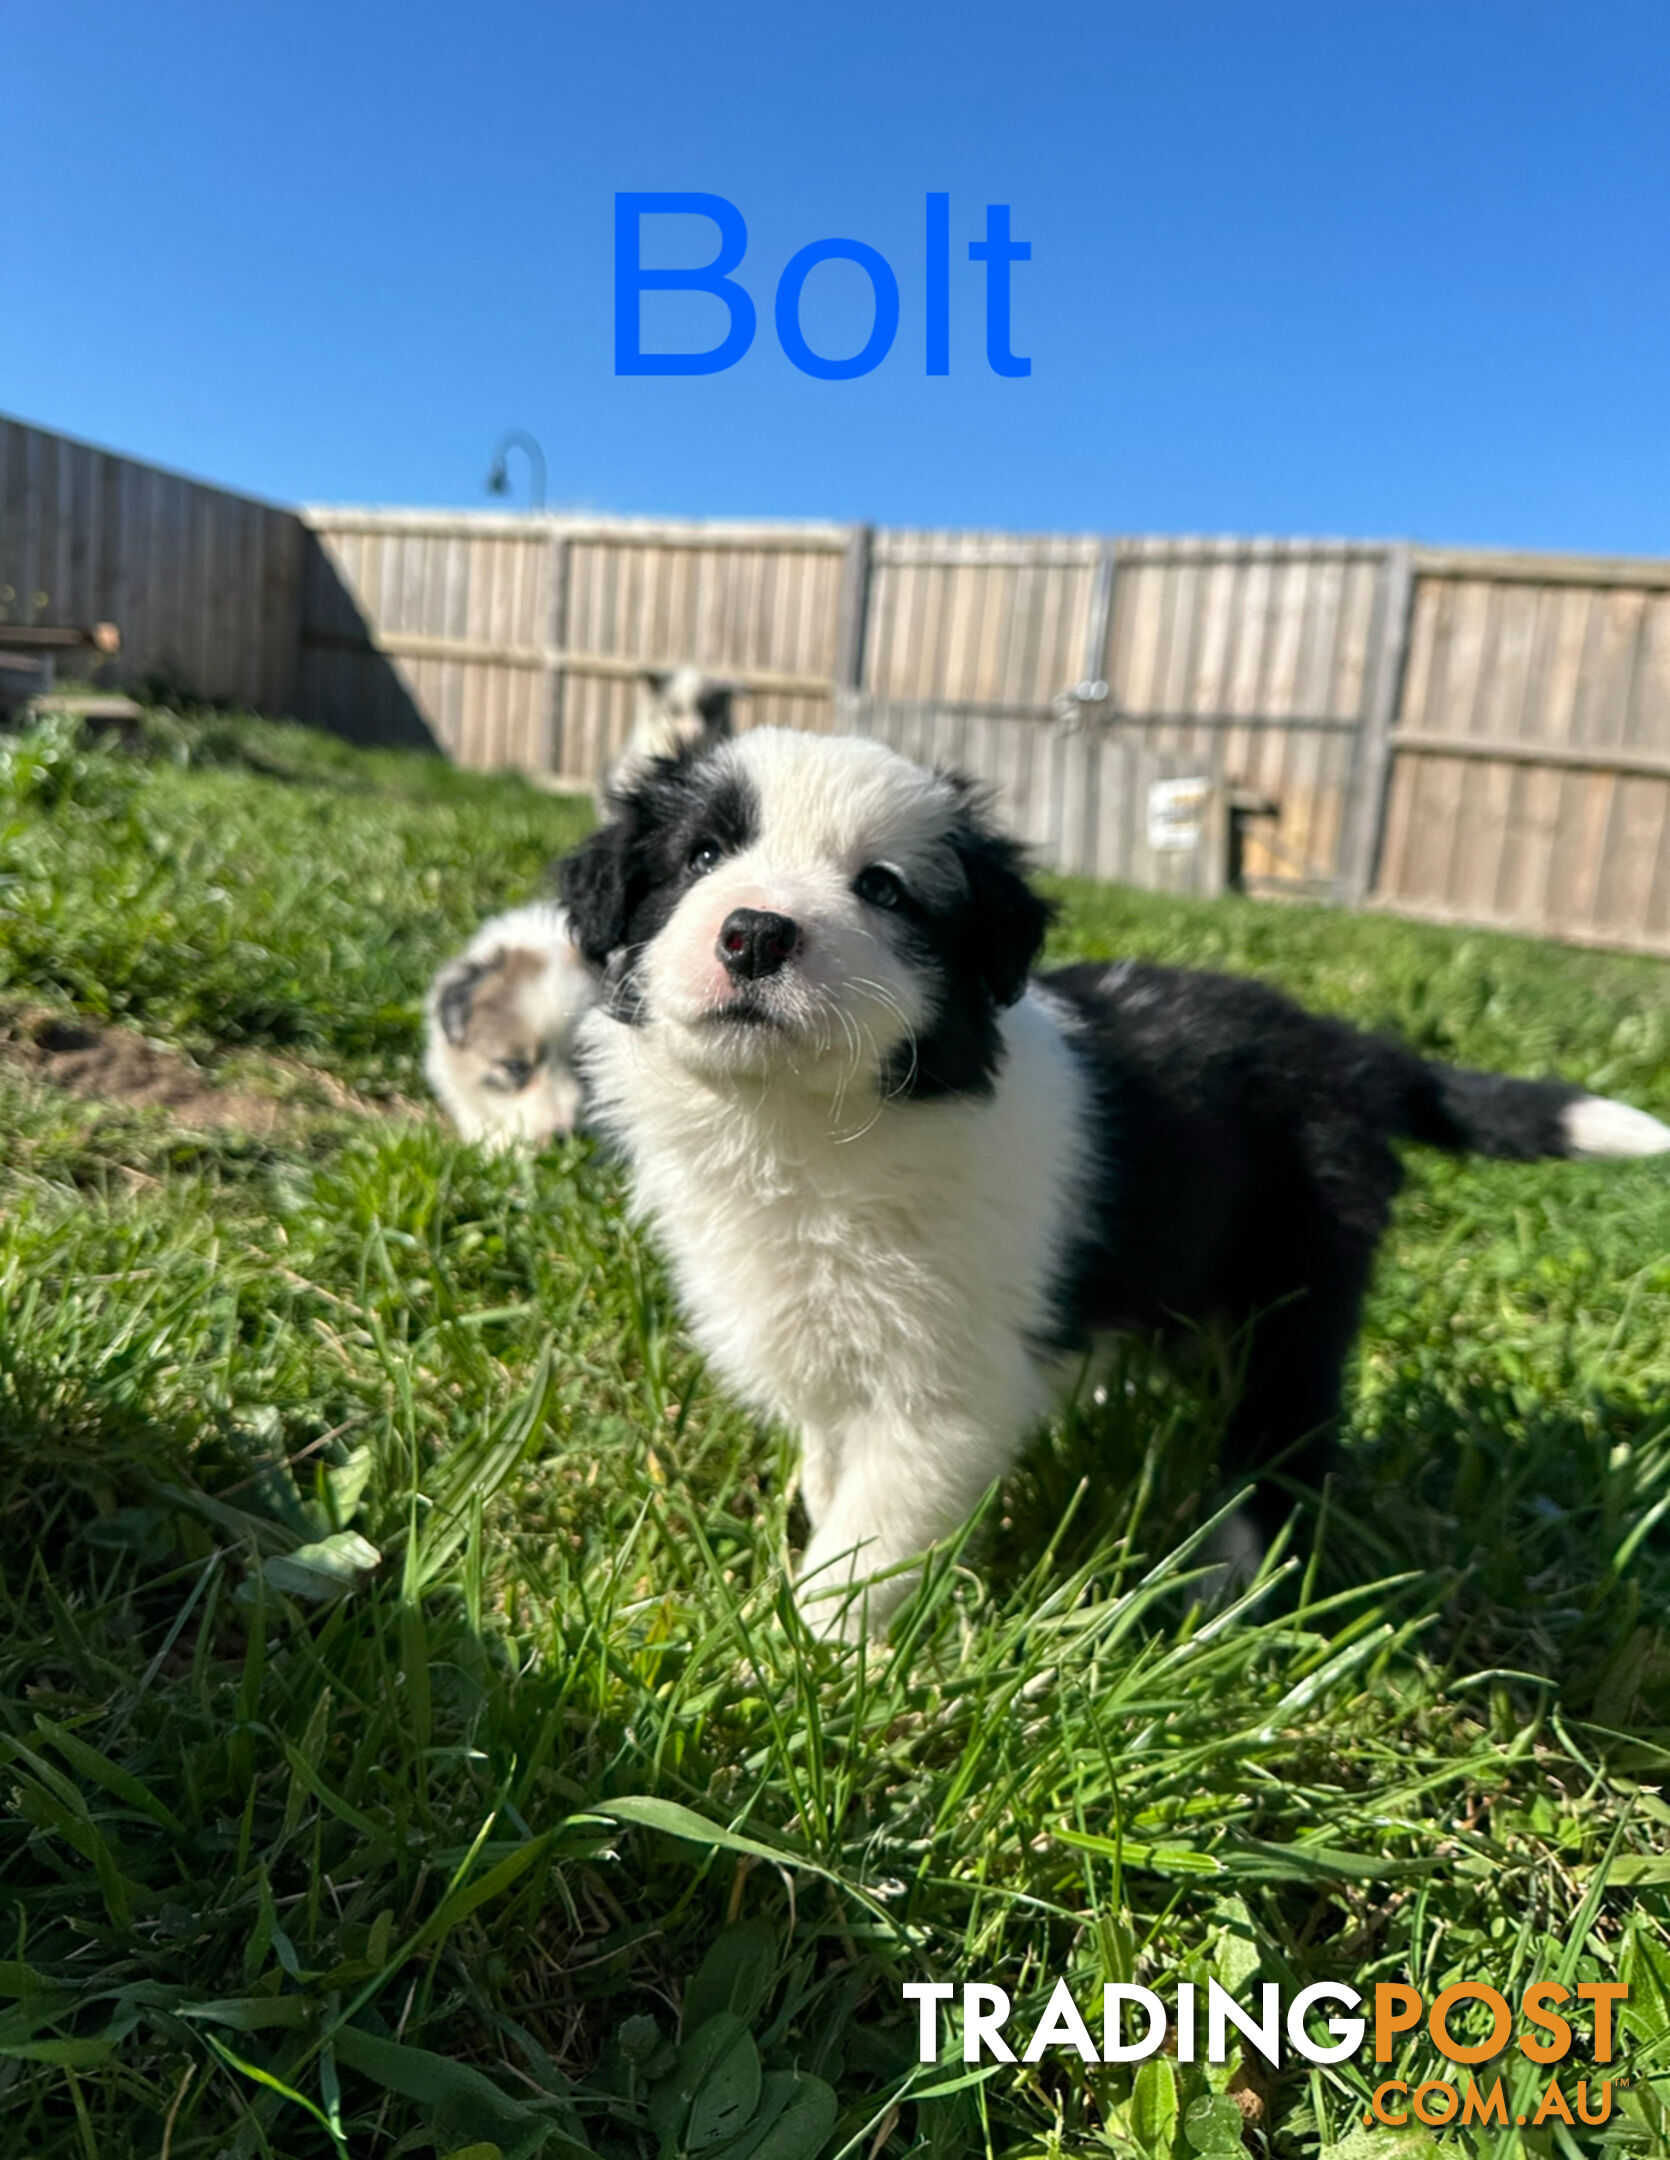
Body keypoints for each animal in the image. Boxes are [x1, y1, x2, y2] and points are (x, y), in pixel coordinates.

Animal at [561, 725, 1667, 1632]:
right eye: (701, 857)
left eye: (881, 887)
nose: (754, 932)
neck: (806, 1123)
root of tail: (1350, 1050)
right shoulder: (825, 1356)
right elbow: (832, 1482)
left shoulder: (944, 1397)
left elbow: (865, 1543)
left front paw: (811, 1667)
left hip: (1292, 1295)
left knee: (1284, 1444)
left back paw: (1231, 1598)